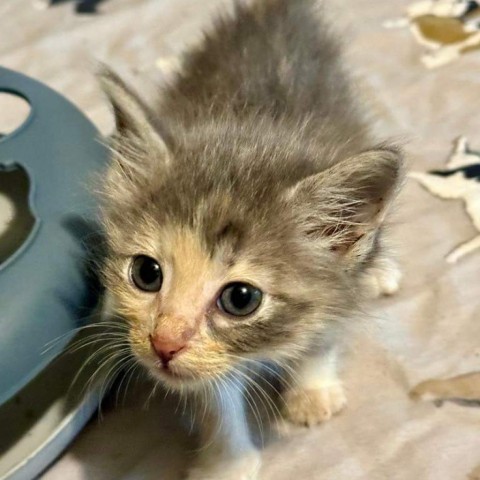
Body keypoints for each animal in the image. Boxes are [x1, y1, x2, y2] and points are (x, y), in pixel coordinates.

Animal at [99, 1, 404, 478]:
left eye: (241, 298)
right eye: (146, 273)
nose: (163, 344)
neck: (252, 127)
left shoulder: (335, 283)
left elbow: (324, 333)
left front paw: (312, 390)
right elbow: (213, 399)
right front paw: (226, 461)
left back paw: (379, 269)